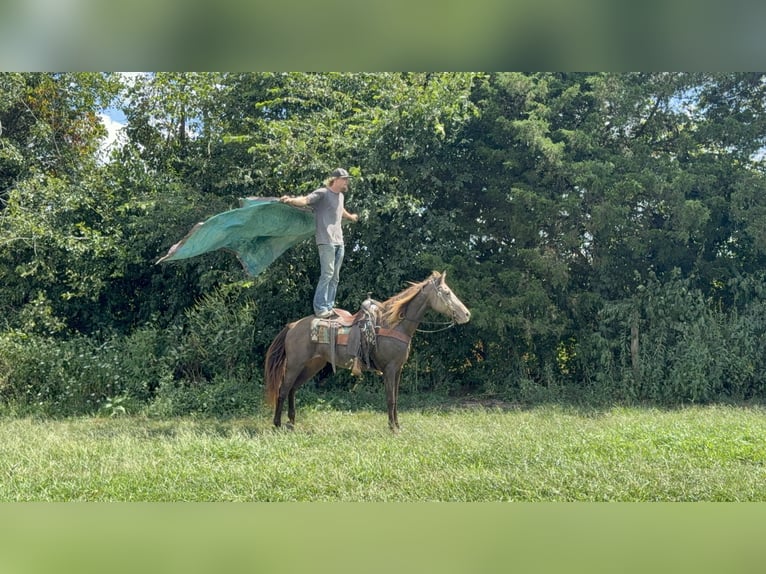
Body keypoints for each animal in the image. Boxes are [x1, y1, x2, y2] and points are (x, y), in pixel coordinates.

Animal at [264, 271, 471, 431]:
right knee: (283, 390)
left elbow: (396, 398)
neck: (393, 324)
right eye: (446, 292)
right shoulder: (389, 369)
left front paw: (397, 425)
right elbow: (390, 399)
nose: (466, 314)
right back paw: (277, 424)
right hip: (295, 365)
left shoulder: (398, 370)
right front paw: (392, 428)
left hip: (312, 365)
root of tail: (292, 326)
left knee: (292, 389)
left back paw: (291, 422)